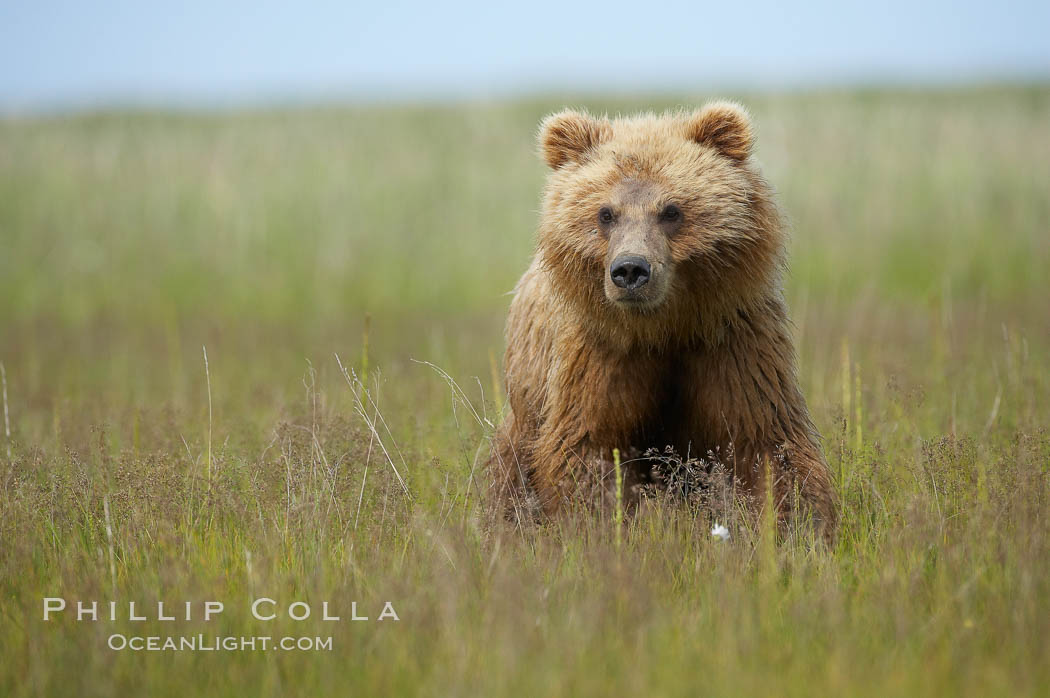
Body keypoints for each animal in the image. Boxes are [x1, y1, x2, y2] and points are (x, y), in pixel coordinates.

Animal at [489, 102, 835, 537]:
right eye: (606, 213)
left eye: (671, 211)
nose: (630, 270)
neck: (663, 328)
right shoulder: (598, 355)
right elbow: (587, 446)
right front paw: (595, 525)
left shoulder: (733, 342)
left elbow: (765, 440)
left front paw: (800, 525)